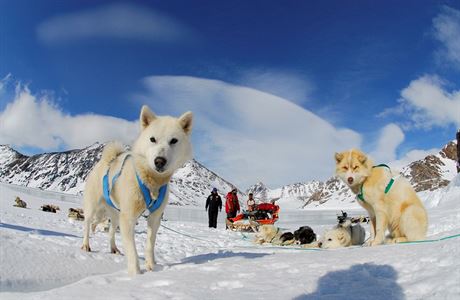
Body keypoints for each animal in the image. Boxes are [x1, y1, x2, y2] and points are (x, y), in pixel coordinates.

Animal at [81, 105, 192, 274]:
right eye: (152, 139)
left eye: (174, 141)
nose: (159, 161)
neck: (151, 181)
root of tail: (106, 160)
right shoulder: (128, 217)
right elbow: (132, 251)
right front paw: (136, 274)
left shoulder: (155, 217)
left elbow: (150, 244)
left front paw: (151, 266)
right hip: (92, 207)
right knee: (87, 225)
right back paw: (86, 245)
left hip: (114, 215)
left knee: (111, 231)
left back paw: (114, 249)